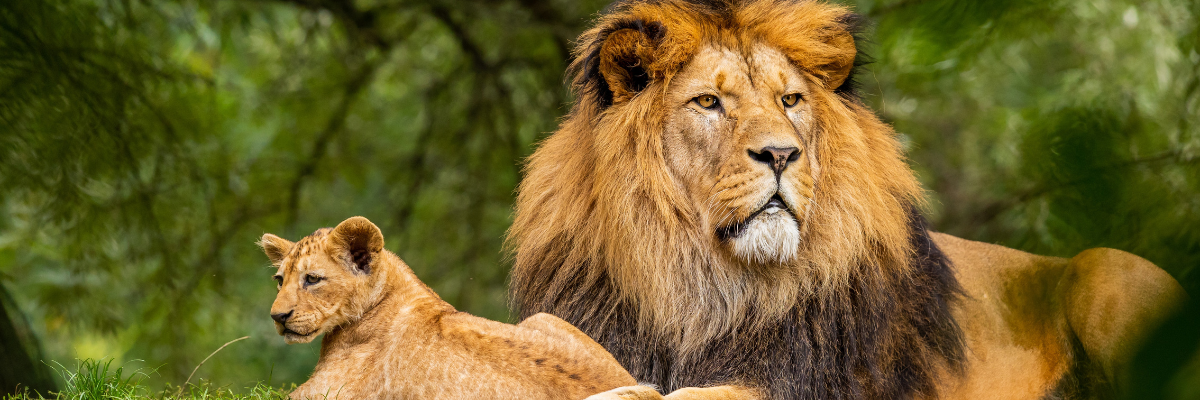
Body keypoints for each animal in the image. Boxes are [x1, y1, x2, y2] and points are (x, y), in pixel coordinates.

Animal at [506, 1, 1188, 399]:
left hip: (1105, 271)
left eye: (790, 100)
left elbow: (709, 393)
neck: (698, 286)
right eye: (708, 102)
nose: (781, 155)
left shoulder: (806, 380)